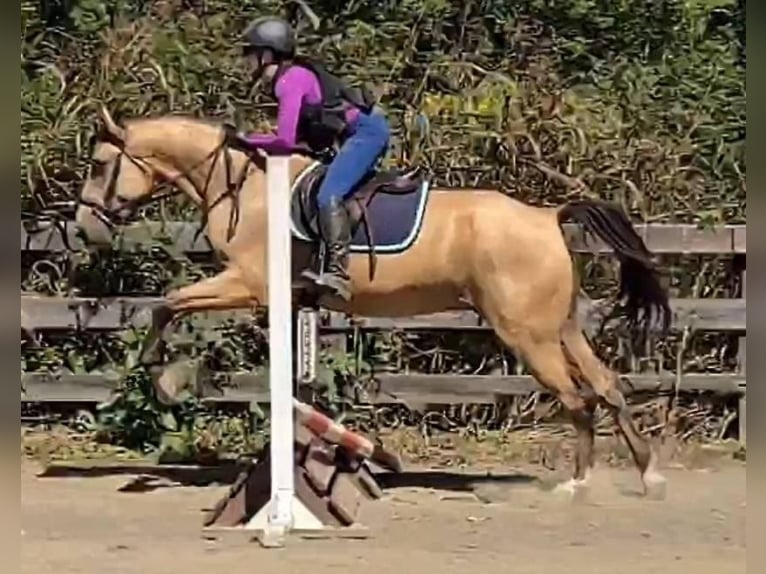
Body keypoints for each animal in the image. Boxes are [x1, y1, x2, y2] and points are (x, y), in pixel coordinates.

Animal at [75, 106, 671, 499]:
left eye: (101, 165)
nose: (84, 230)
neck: (243, 185)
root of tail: (548, 216)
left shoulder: (247, 283)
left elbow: (168, 303)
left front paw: (165, 381)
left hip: (527, 334)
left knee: (577, 399)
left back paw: (576, 483)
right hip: (559, 326)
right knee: (607, 386)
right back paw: (648, 474)